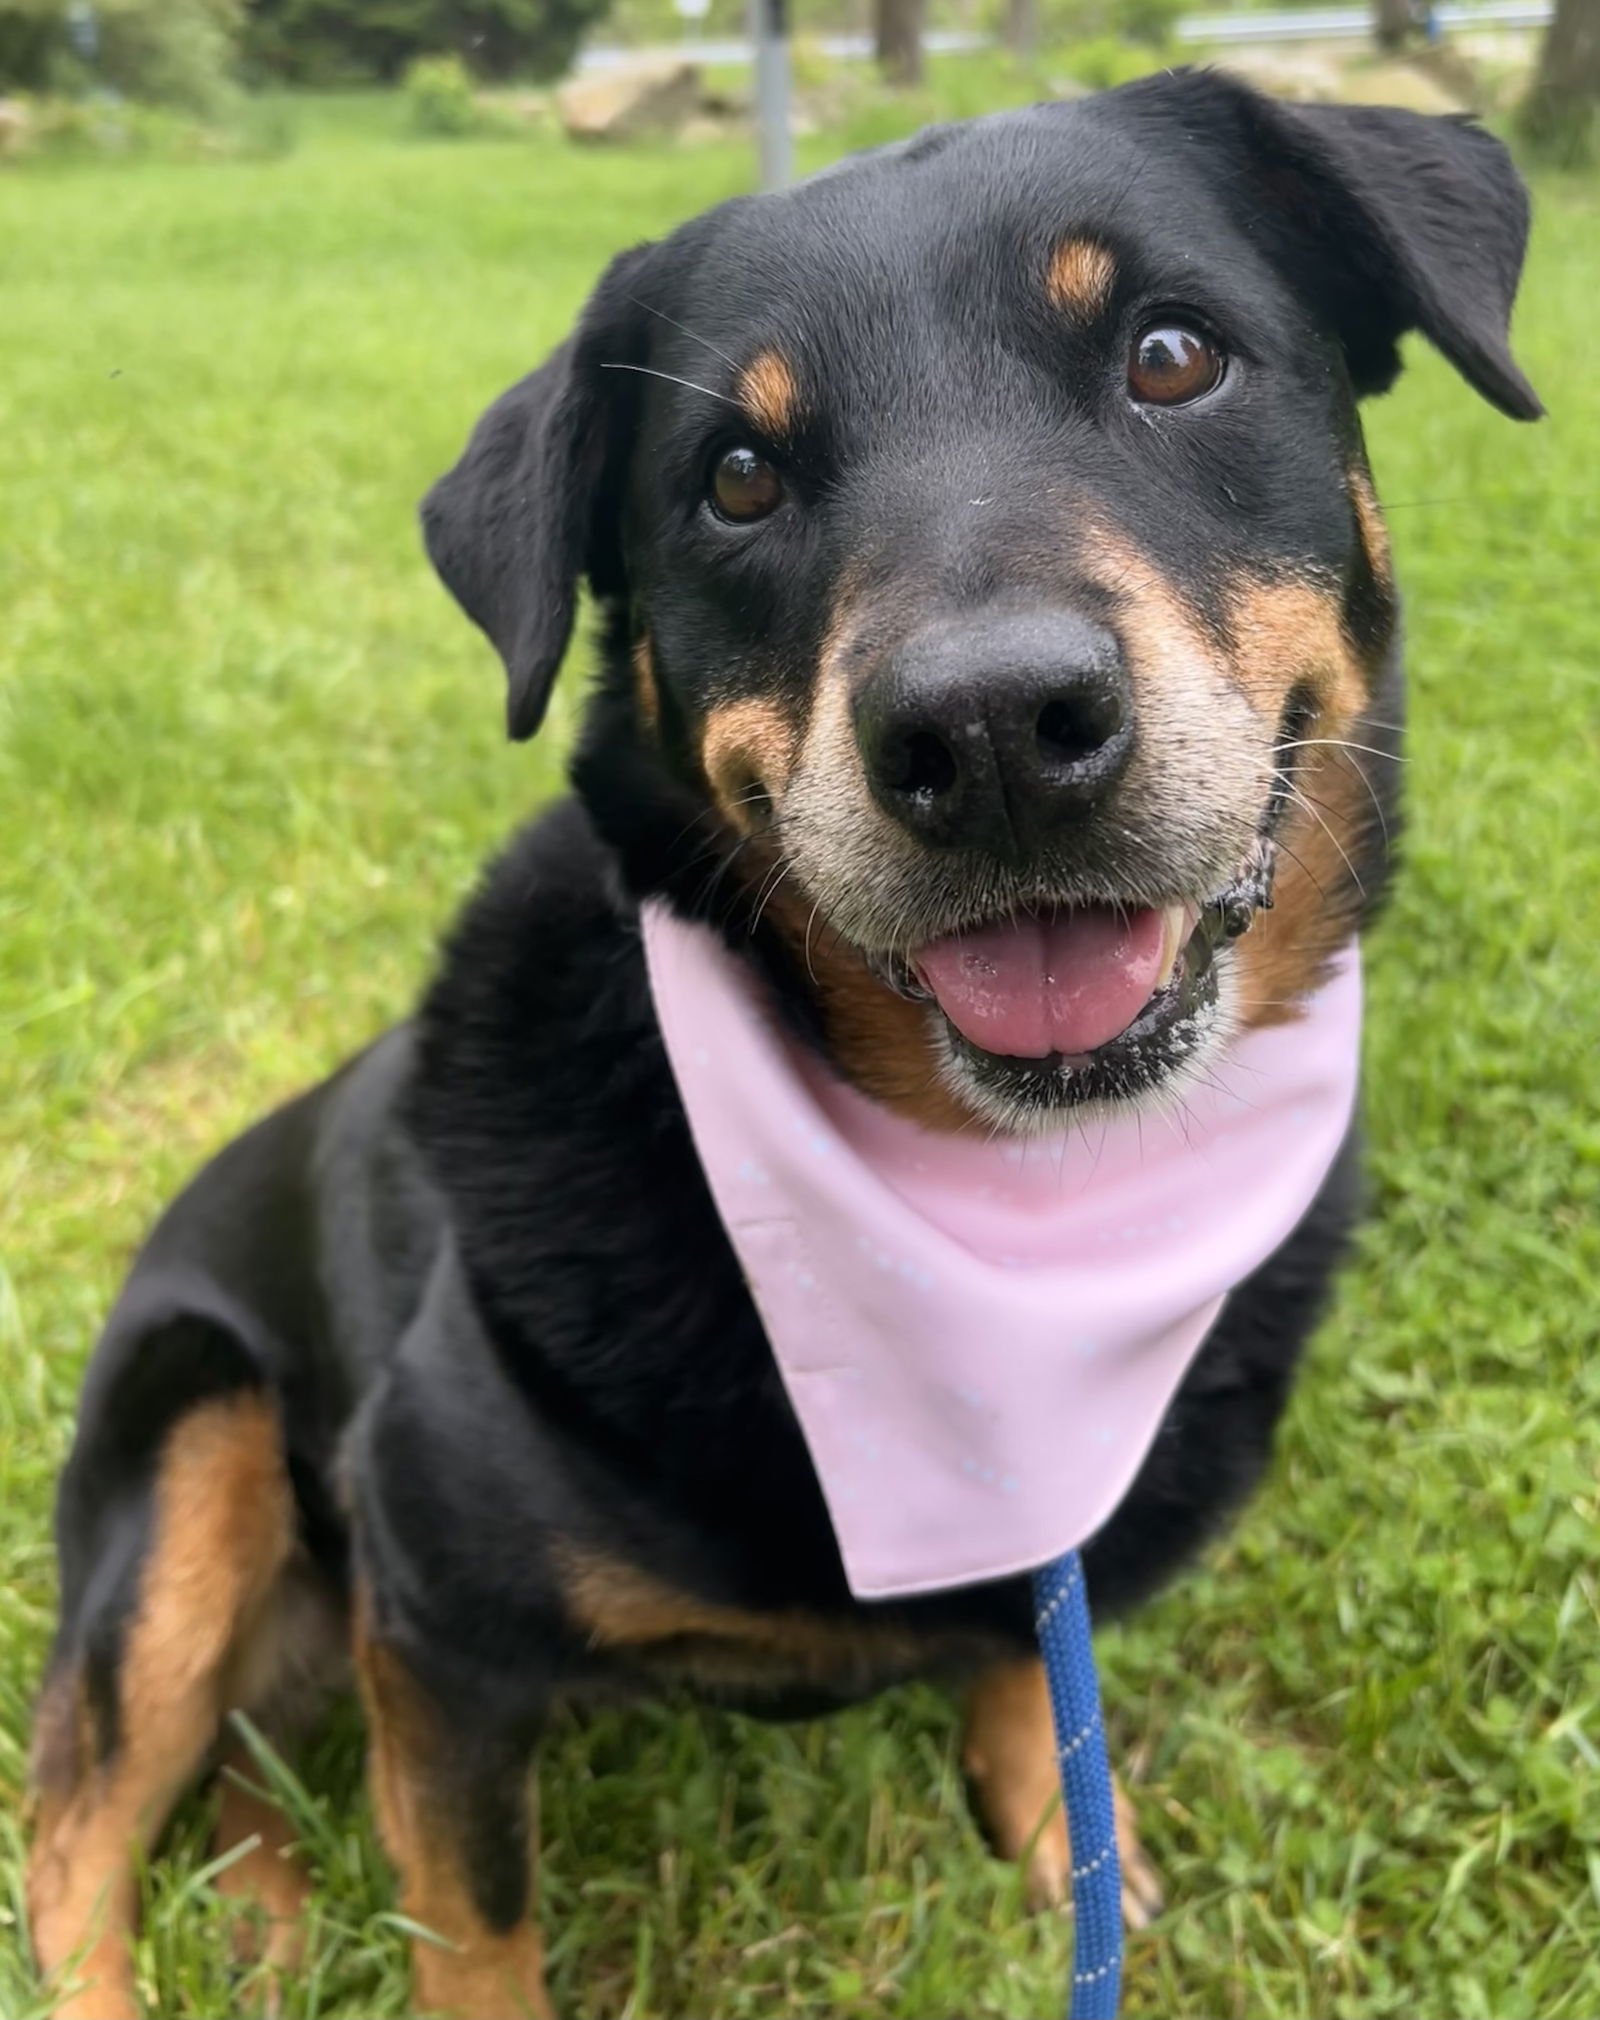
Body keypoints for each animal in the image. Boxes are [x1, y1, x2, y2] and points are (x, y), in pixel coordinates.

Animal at [21, 67, 1535, 2020]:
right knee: (78, 1828)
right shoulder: (433, 1610)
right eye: (734, 478)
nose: (990, 730)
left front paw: (1061, 1862)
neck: (1015, 1217)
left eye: (1173, 354)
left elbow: (1035, 1697)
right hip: (191, 1462)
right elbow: (476, 1925)